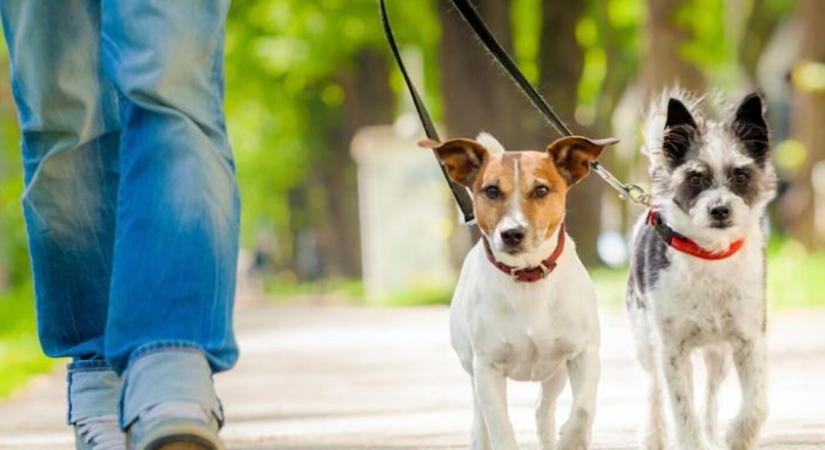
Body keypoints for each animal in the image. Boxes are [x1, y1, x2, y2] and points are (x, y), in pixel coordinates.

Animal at [422, 133, 616, 450]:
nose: (512, 233)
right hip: (474, 372)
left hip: (555, 373)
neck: (528, 277)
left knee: (543, 409)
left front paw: (572, 439)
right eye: (491, 190)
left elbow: (584, 409)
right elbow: (500, 427)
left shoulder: (584, 354)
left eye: (541, 190)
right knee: (481, 421)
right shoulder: (487, 368)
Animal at [628, 89, 776, 450]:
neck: (710, 255)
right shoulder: (672, 350)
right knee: (655, 389)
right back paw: (653, 435)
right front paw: (692, 439)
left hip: (717, 354)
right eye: (695, 178)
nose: (719, 209)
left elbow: (757, 404)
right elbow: (683, 411)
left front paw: (737, 435)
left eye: (741, 175)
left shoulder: (750, 340)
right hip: (645, 342)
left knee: (710, 396)